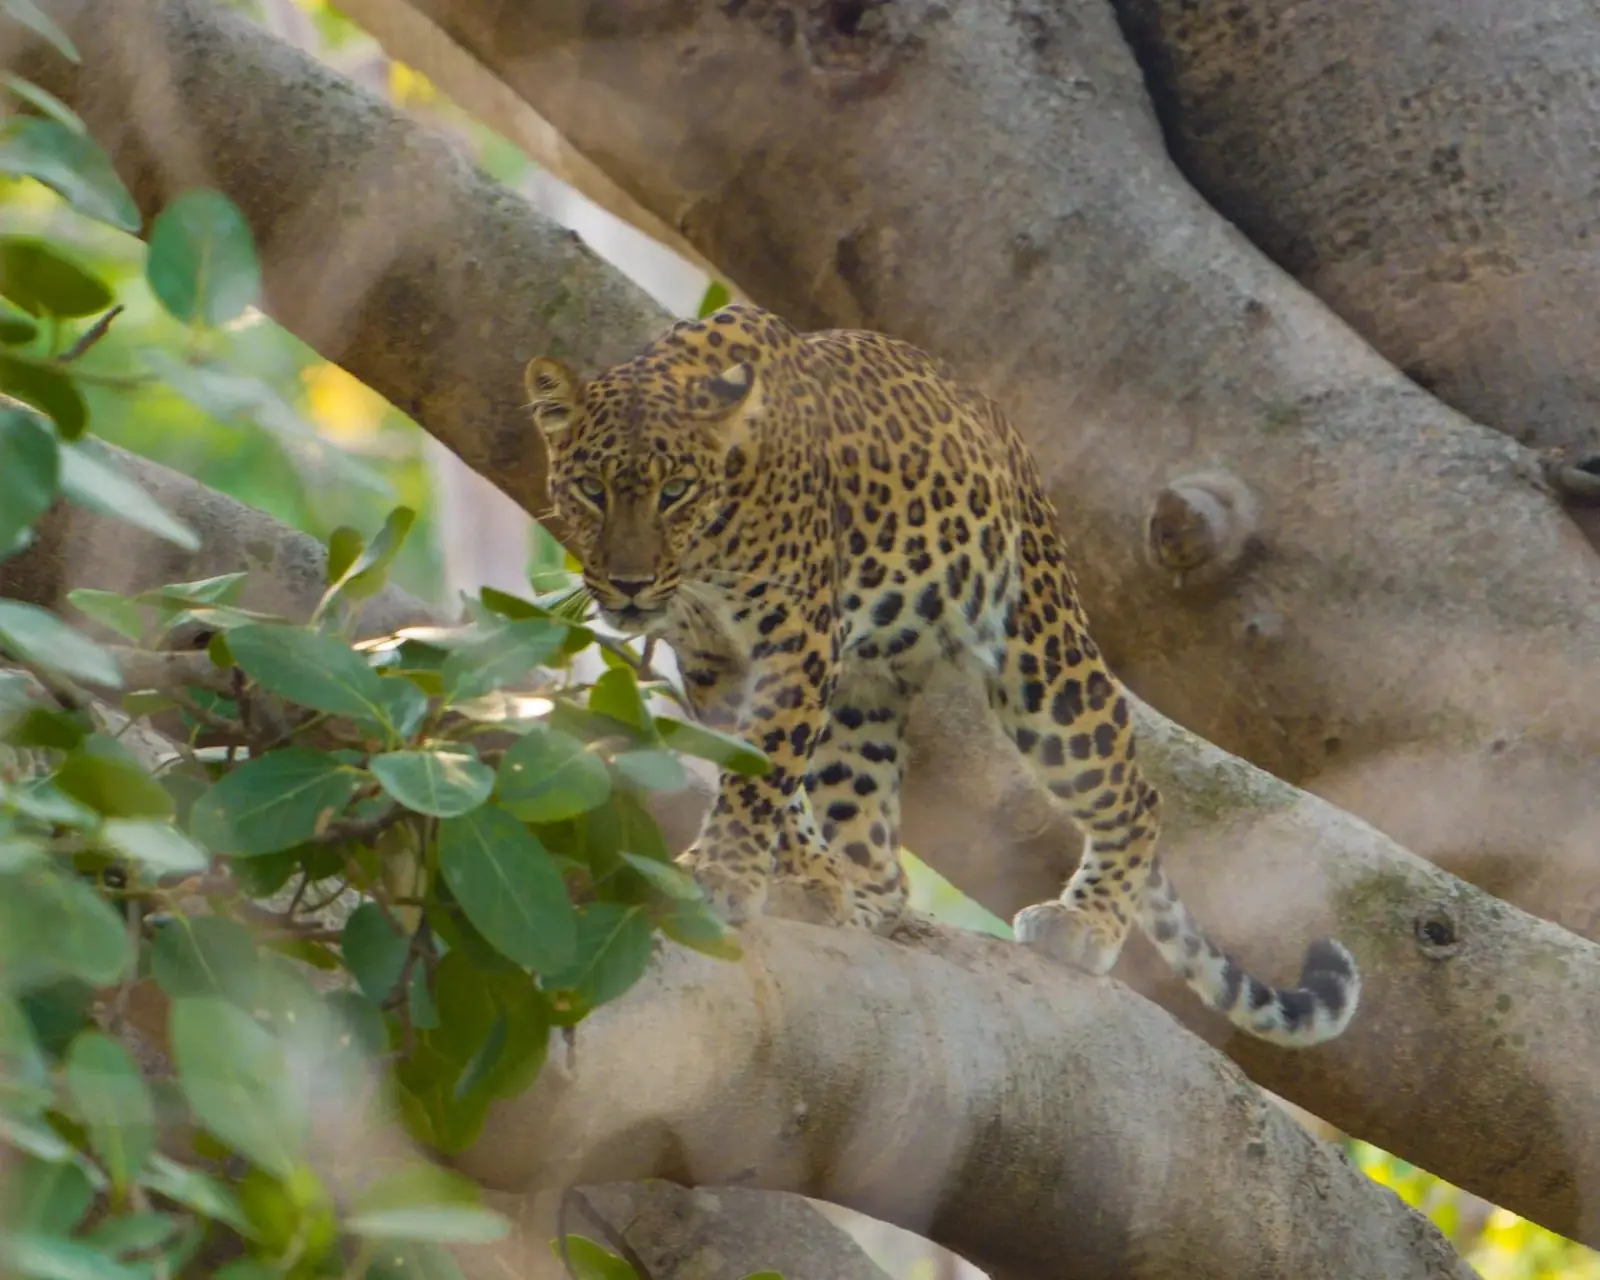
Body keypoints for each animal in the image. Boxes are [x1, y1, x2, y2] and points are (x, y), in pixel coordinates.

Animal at [526, 302, 1360, 1048]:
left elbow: (764, 767)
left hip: (1042, 655)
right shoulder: (713, 661)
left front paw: (725, 872)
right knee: (871, 824)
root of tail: (999, 422)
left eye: (674, 492)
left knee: (1135, 791)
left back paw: (1085, 922)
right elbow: (765, 772)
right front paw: (804, 876)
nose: (629, 583)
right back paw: (864, 894)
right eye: (591, 490)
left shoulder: (797, 638)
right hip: (865, 693)